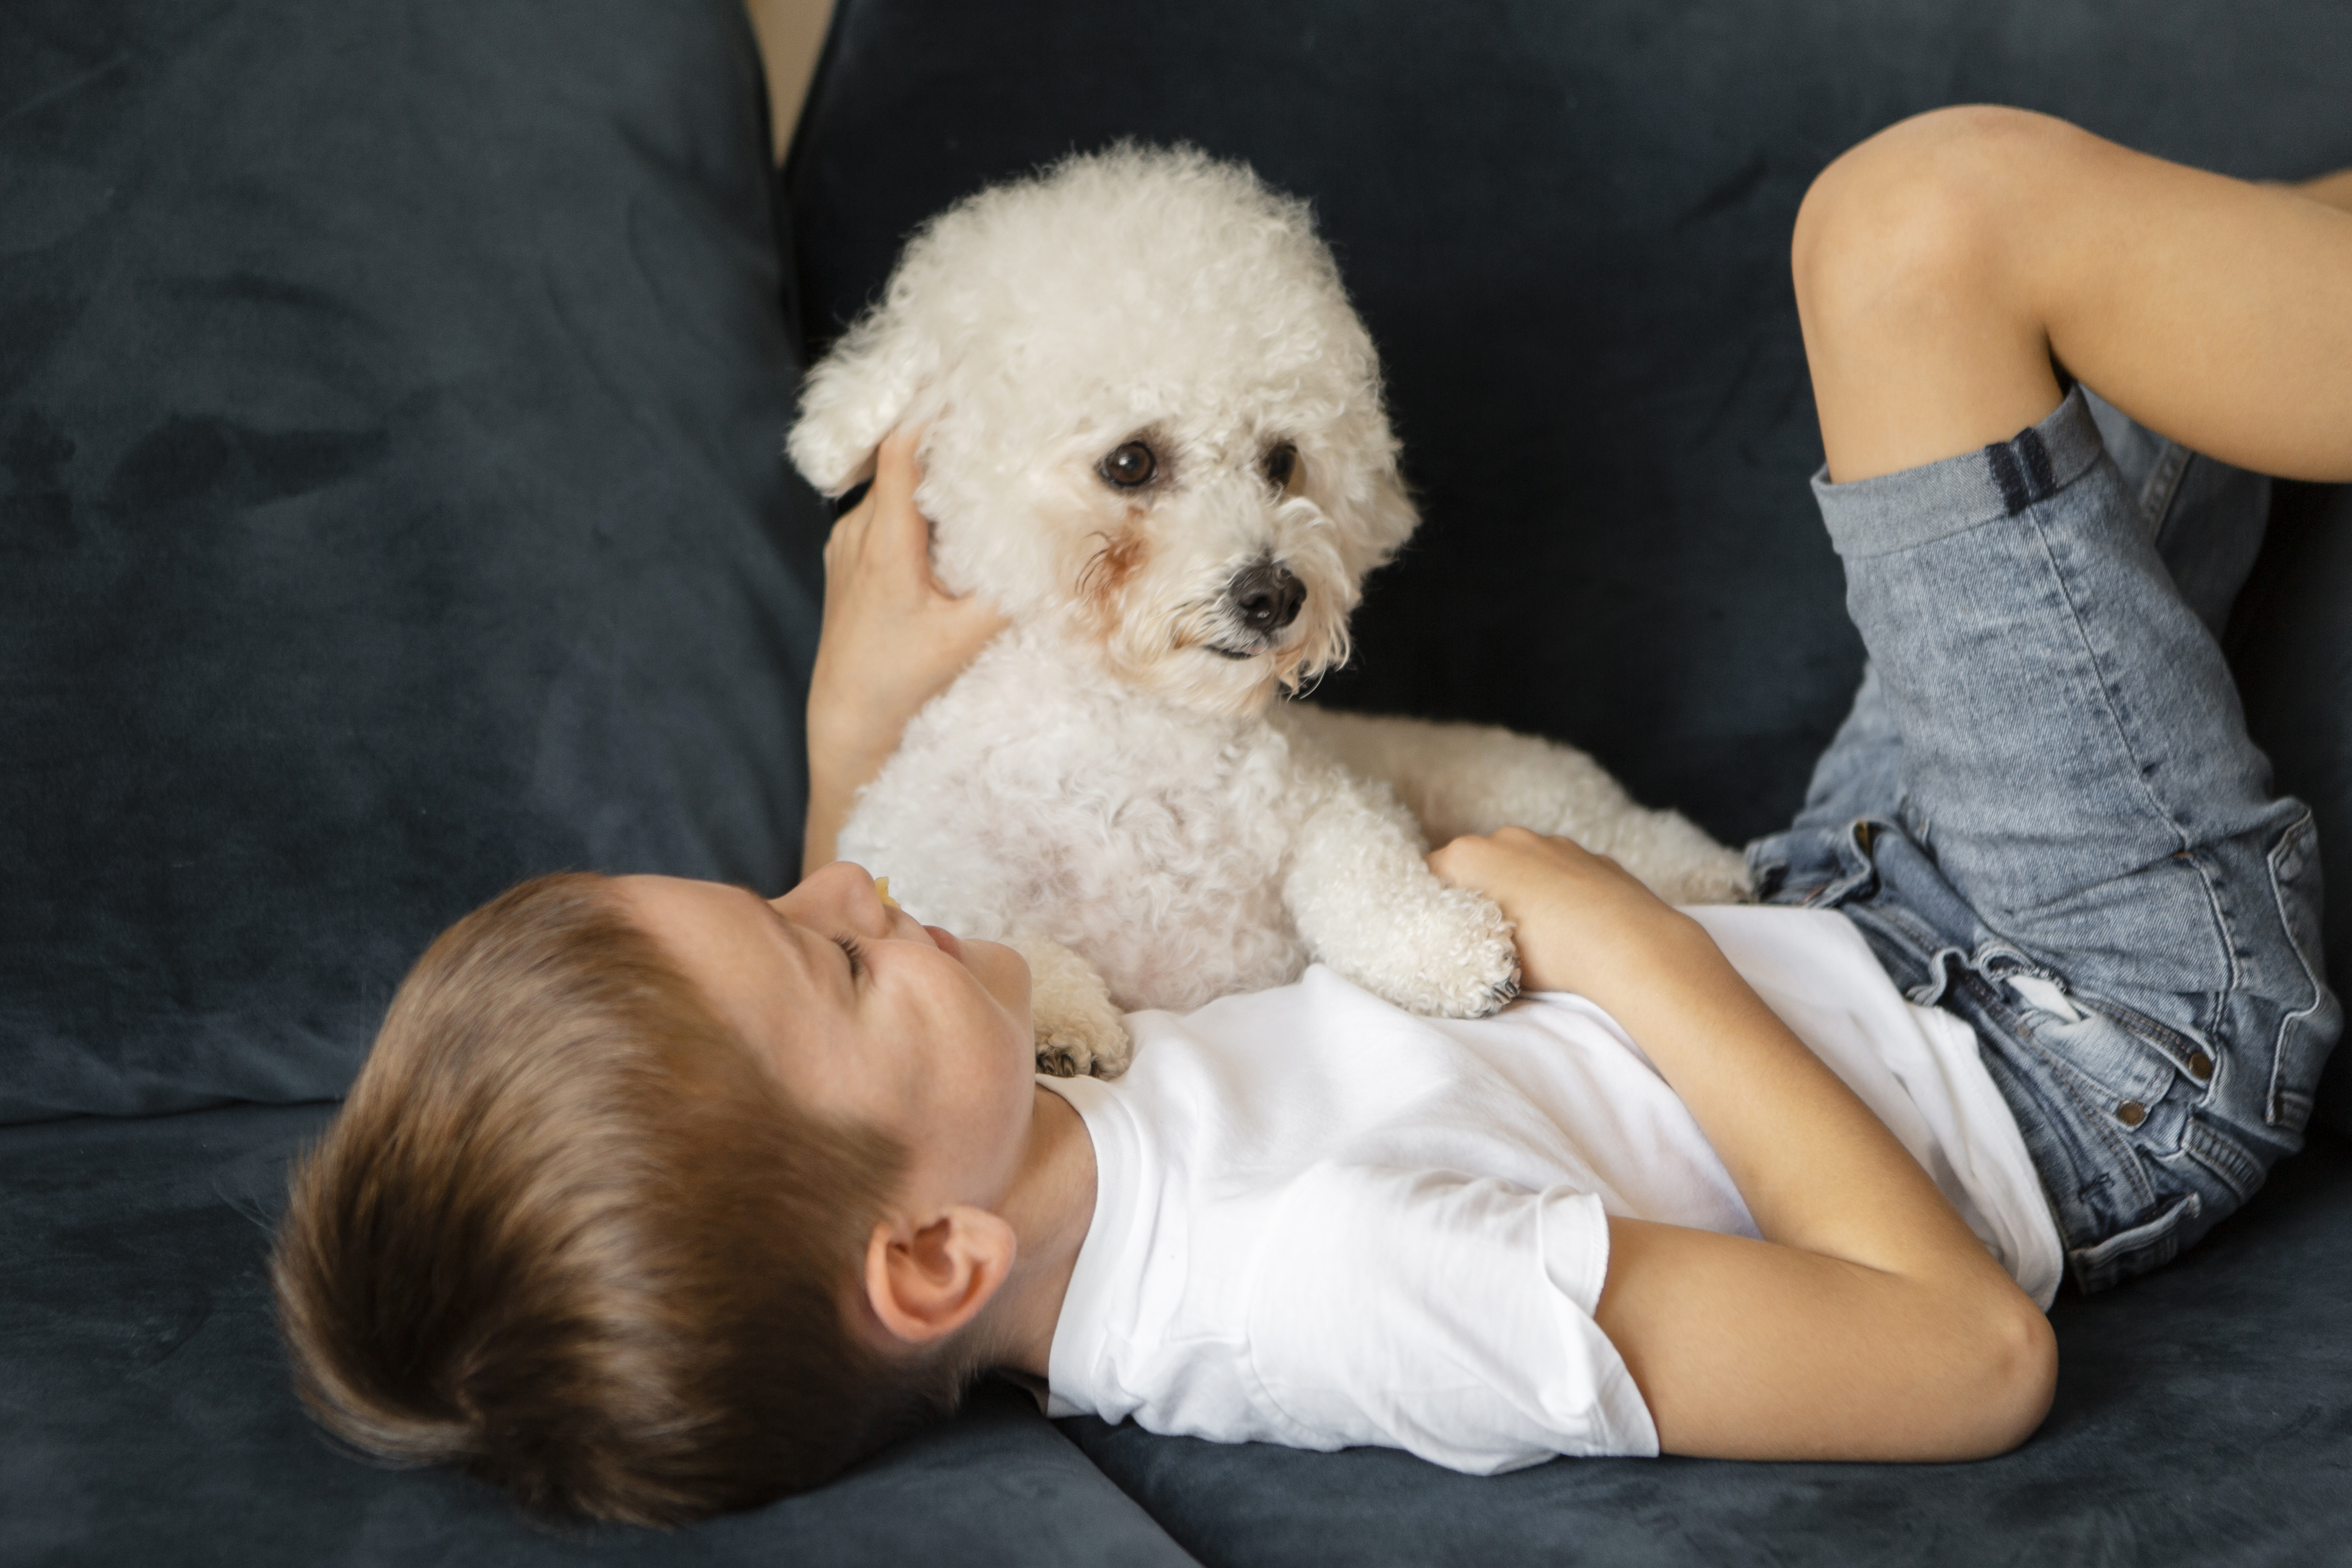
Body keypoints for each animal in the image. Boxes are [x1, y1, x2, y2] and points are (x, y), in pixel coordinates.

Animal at [790, 144, 1750, 1081]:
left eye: (1282, 461)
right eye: (1131, 461)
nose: (1274, 594)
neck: (1132, 739)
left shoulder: (1325, 802)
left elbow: (1364, 870)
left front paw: (1445, 950)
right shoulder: (916, 849)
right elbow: (987, 935)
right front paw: (1057, 1015)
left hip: (1524, 792)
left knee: (1626, 836)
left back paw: (1711, 872)